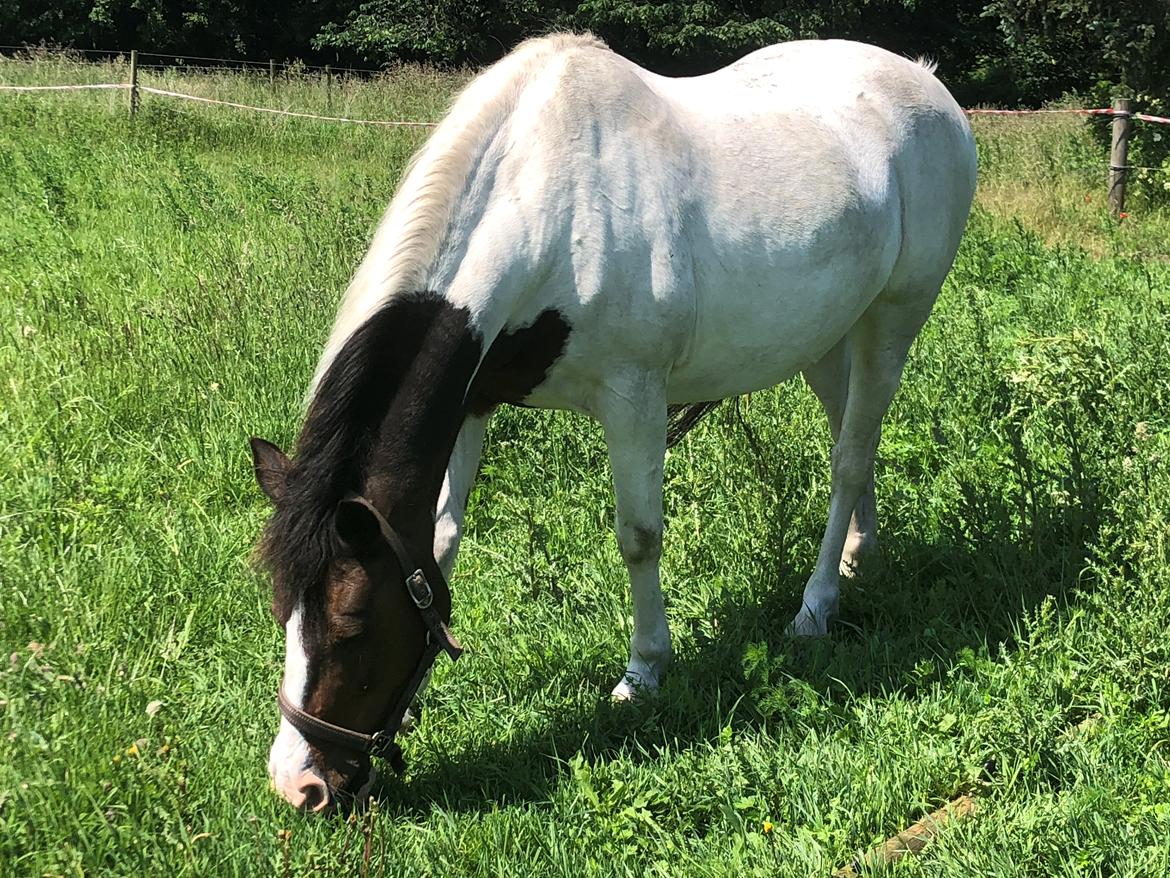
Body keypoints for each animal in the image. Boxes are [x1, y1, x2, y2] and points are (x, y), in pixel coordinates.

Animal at [249, 31, 978, 814]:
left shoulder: (634, 397)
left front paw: (644, 671)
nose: (300, 784)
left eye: (353, 622)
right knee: (855, 433)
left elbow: (639, 537)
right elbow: (440, 539)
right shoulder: (471, 403)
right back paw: (858, 556)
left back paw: (815, 609)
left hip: (895, 318)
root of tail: (928, 85)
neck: (548, 204)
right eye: (281, 610)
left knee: (849, 455)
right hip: (828, 334)